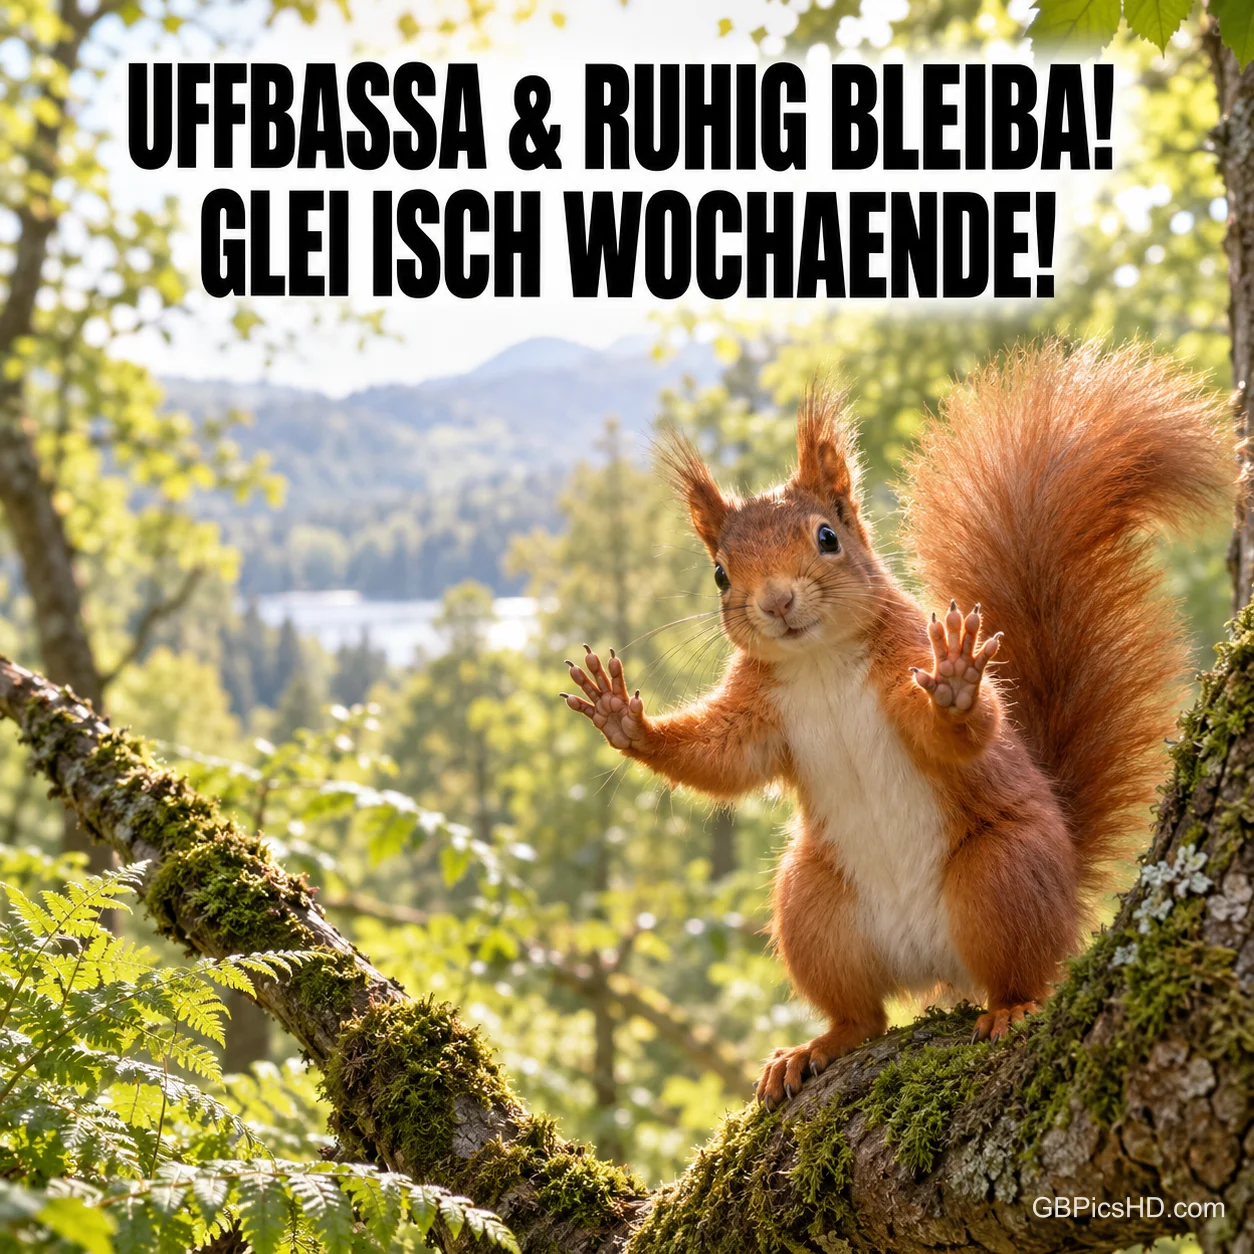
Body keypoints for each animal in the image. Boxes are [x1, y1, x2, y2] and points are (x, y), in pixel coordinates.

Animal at [561, 341, 1234, 1108]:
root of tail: (930, 961)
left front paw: (958, 684)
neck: (819, 662)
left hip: (1003, 873)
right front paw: (623, 719)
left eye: (827, 536)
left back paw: (1013, 1006)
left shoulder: (905, 662)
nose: (777, 601)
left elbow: (962, 731)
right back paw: (814, 1047)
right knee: (864, 1014)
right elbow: (720, 758)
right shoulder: (759, 715)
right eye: (720, 575)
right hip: (814, 907)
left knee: (1019, 970)